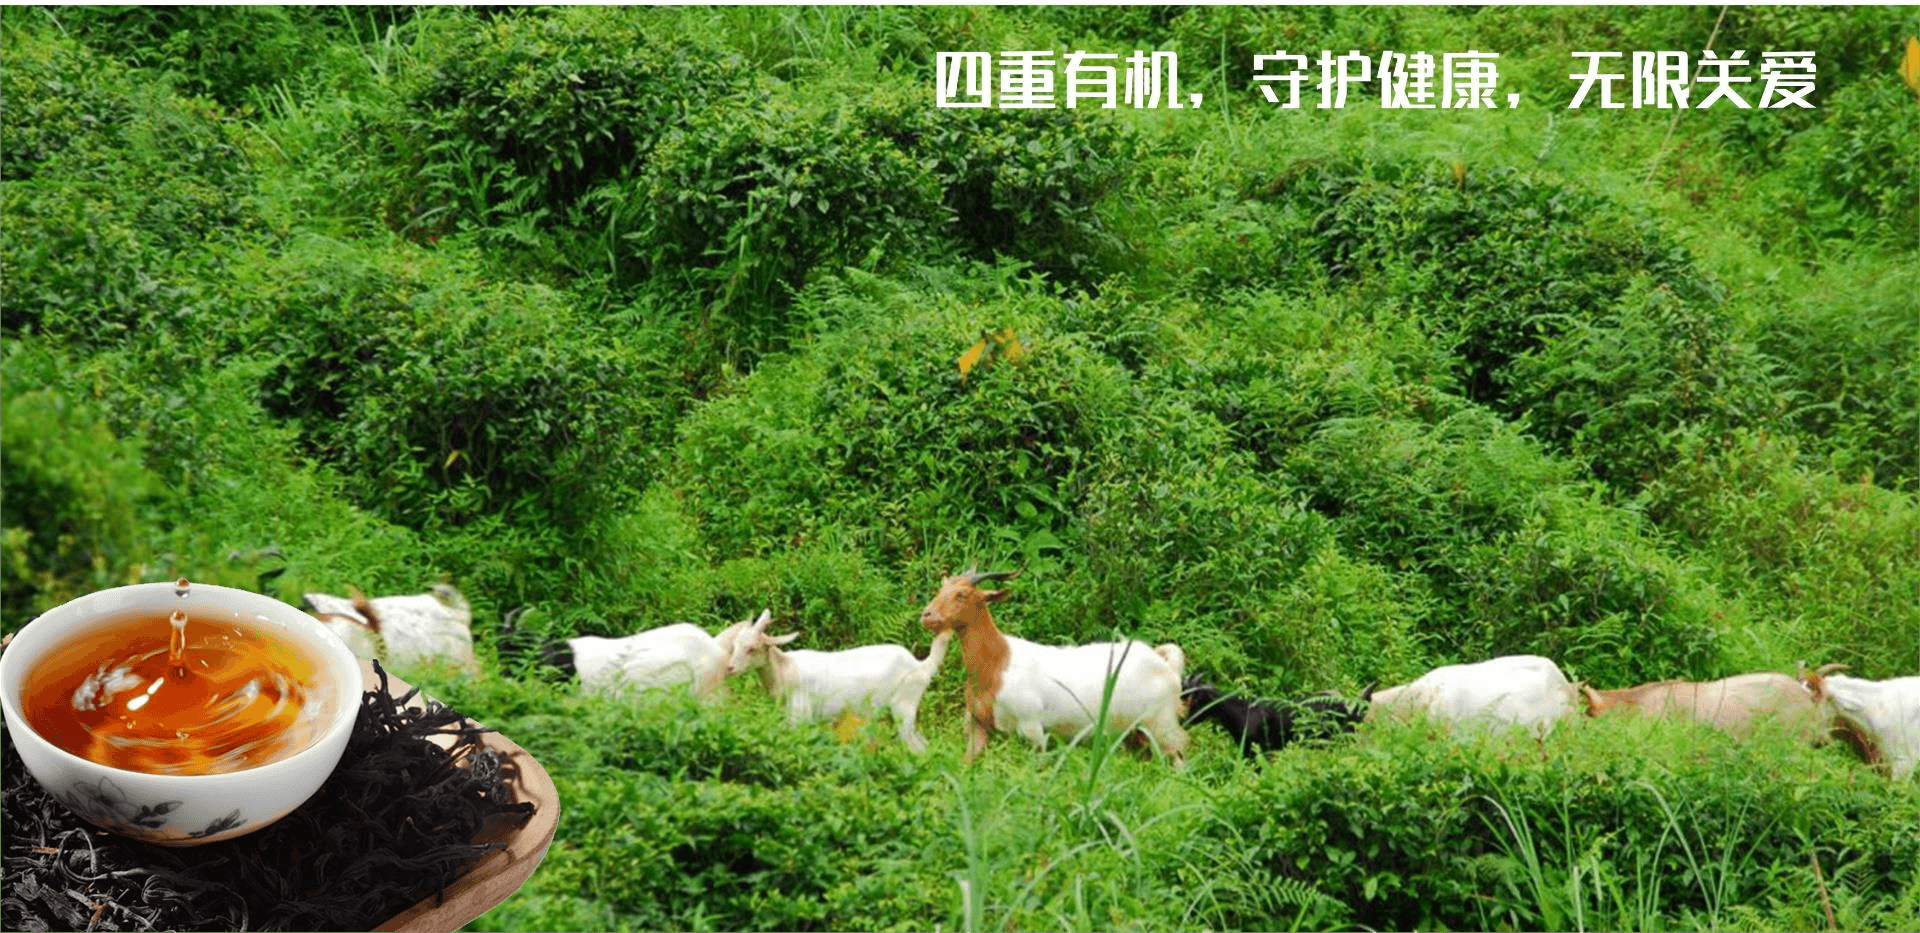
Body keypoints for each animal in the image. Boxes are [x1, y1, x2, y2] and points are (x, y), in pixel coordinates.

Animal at [724, 611, 954, 753]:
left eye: (752, 648)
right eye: (735, 646)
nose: (729, 668)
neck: (786, 669)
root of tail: (920, 665)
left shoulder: (800, 714)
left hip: (904, 704)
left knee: (915, 746)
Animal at [917, 569, 1189, 766]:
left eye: (962, 594)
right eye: (942, 588)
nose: (927, 615)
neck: (997, 665)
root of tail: (1165, 663)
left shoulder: (1032, 728)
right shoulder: (978, 725)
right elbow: (966, 764)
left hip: (1162, 724)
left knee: (1178, 757)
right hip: (1135, 733)